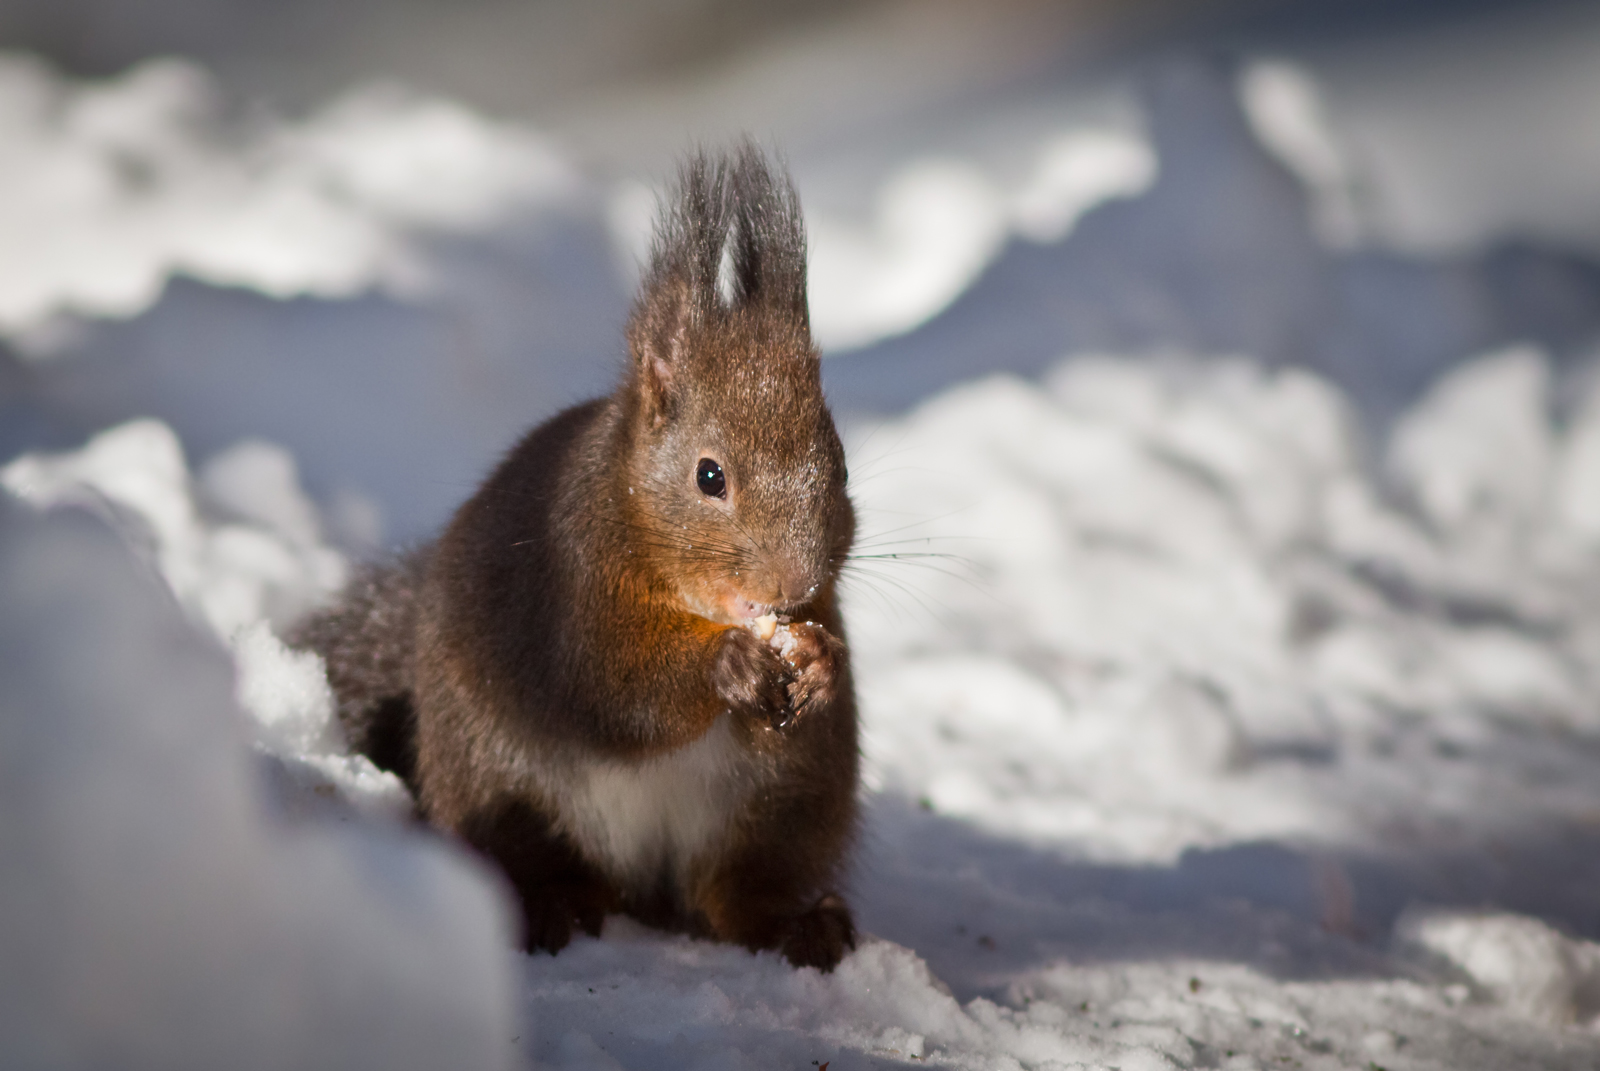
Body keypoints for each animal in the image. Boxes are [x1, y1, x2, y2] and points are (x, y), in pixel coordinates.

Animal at [291, 146, 864, 973]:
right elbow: (614, 686)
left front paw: (820, 666)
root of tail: (643, 884)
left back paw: (799, 925)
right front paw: (725, 665)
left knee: (740, 894)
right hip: (500, 775)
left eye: (841, 468)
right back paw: (546, 906)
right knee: (539, 858)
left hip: (787, 800)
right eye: (709, 475)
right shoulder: (568, 589)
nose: (793, 582)